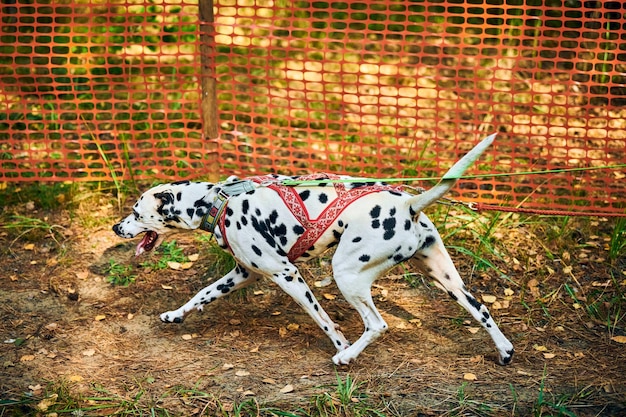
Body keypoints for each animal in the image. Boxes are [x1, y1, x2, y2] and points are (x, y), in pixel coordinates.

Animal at [112, 134, 512, 364]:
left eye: (135, 211)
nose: (116, 227)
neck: (219, 202)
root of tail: (409, 203)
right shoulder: (241, 274)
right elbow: (202, 294)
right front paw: (175, 315)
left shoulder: (287, 274)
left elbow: (323, 319)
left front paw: (339, 344)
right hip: (447, 279)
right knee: (482, 310)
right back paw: (505, 351)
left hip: (347, 275)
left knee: (377, 324)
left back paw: (346, 358)